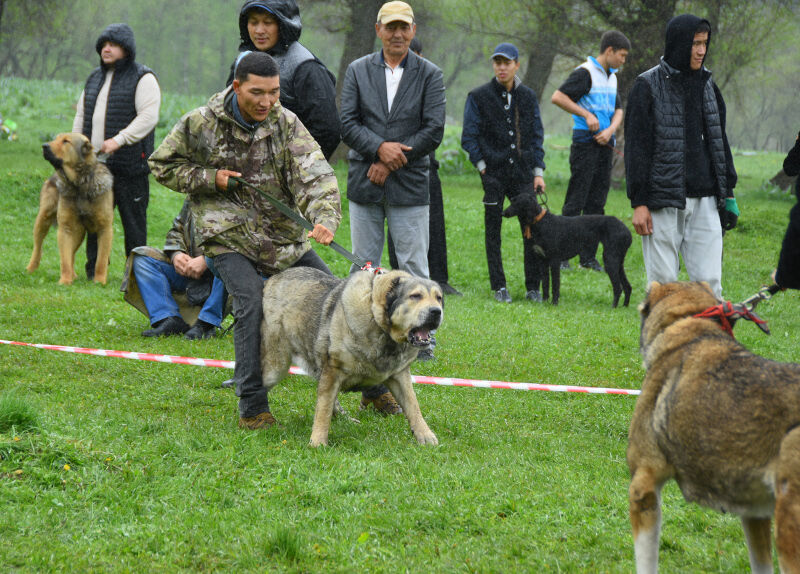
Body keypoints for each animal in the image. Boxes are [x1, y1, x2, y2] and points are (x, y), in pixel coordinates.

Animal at [26, 133, 114, 286]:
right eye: (56, 139)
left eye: (66, 141)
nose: (44, 146)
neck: (79, 183)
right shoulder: (66, 228)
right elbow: (64, 259)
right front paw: (65, 281)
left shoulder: (105, 229)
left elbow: (101, 261)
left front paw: (99, 281)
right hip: (43, 219)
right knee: (38, 247)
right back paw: (31, 268)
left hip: (79, 232)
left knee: (72, 253)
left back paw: (74, 275)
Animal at [260, 268, 444, 448]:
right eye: (415, 296)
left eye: (439, 298)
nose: (436, 311)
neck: (378, 322)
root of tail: (273, 278)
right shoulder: (332, 371)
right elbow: (323, 410)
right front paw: (317, 442)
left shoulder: (400, 375)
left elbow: (413, 405)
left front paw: (425, 435)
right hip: (275, 367)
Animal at [504, 194, 636, 308]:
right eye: (511, 201)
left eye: (516, 203)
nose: (503, 213)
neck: (542, 222)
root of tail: (627, 231)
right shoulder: (543, 262)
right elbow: (546, 284)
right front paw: (545, 302)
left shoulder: (555, 261)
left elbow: (555, 285)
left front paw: (554, 303)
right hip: (618, 262)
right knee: (628, 287)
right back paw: (624, 306)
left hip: (609, 260)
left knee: (618, 288)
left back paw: (613, 307)